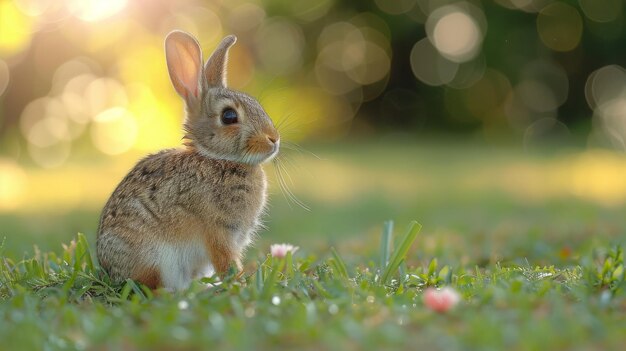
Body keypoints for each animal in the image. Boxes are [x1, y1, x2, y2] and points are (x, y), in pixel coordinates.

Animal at [96, 31, 280, 292]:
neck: (217, 159)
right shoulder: (218, 233)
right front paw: (240, 286)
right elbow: (225, 262)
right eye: (229, 116)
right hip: (153, 255)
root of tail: (110, 272)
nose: (274, 139)